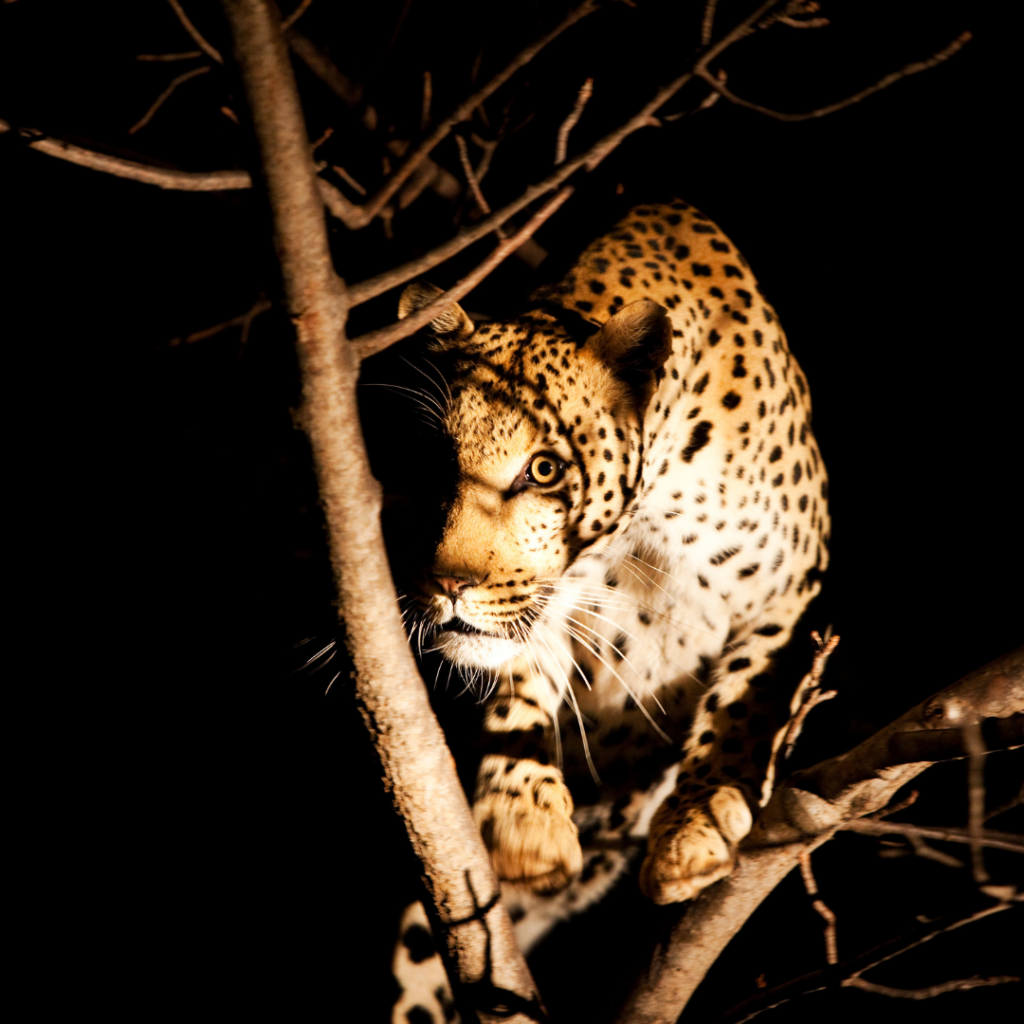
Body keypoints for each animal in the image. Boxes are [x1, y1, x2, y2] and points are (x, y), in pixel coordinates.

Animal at [385, 199, 831, 1024]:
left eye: (544, 469)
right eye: (438, 463)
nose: (446, 584)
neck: (653, 514)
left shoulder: (790, 590)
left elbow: (747, 699)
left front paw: (697, 828)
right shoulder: (550, 606)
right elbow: (521, 681)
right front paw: (525, 824)